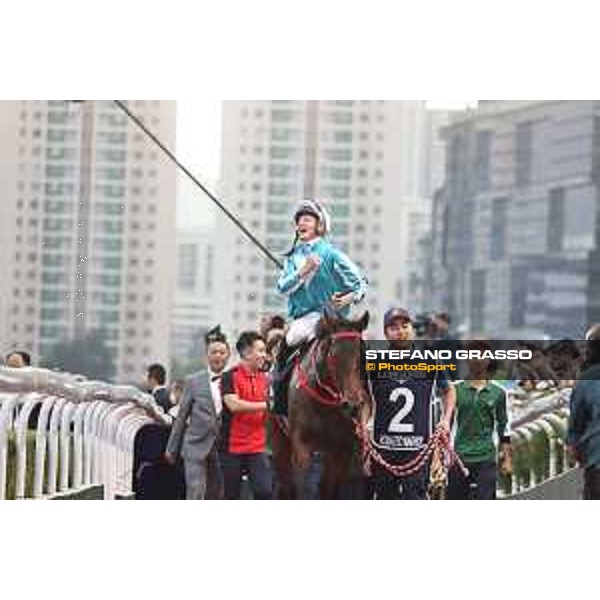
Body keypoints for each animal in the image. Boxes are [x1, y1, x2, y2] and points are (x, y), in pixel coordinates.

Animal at [270, 310, 366, 496]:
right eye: (333, 356)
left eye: (361, 355)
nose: (352, 405)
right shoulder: (302, 446)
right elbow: (302, 488)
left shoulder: (341, 450)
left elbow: (328, 489)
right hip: (279, 442)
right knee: (286, 486)